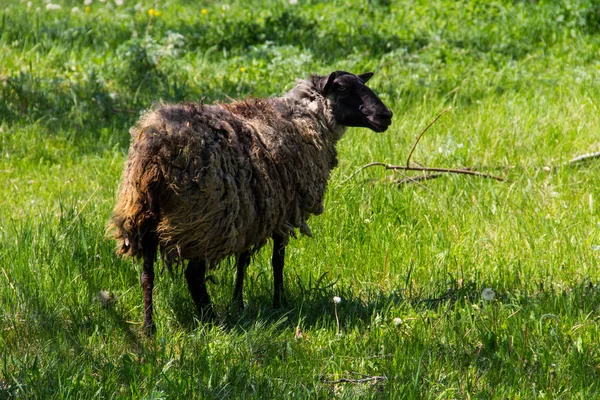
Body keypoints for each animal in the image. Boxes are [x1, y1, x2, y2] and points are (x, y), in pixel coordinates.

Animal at [109, 71, 394, 332]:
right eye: (344, 88)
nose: (386, 115)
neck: (306, 119)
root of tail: (156, 150)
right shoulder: (284, 212)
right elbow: (277, 261)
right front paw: (279, 304)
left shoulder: (253, 212)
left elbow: (243, 262)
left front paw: (239, 303)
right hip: (201, 219)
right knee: (194, 276)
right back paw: (211, 319)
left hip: (143, 216)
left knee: (147, 275)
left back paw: (149, 328)